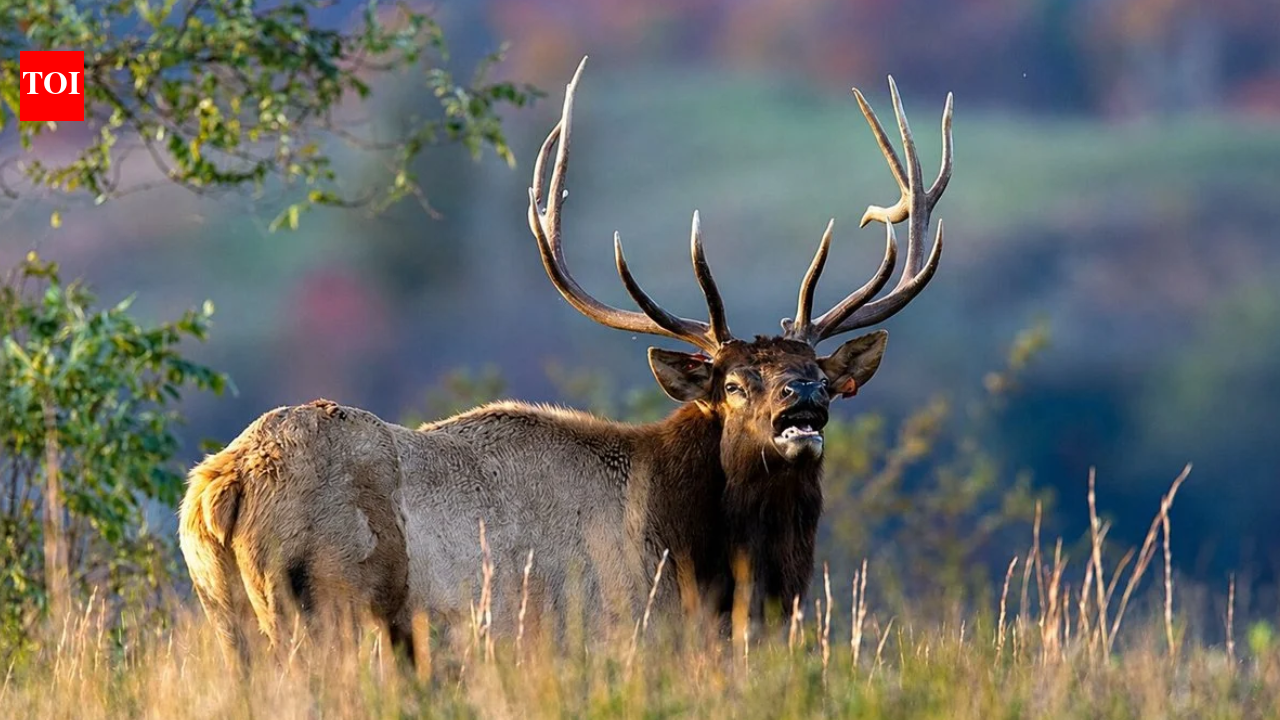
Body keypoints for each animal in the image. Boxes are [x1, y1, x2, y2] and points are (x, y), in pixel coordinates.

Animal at [178, 57, 953, 665]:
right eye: (735, 384)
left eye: (823, 375)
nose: (802, 401)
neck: (699, 557)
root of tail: (220, 485)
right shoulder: (604, 630)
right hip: (323, 605)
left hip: (228, 617)